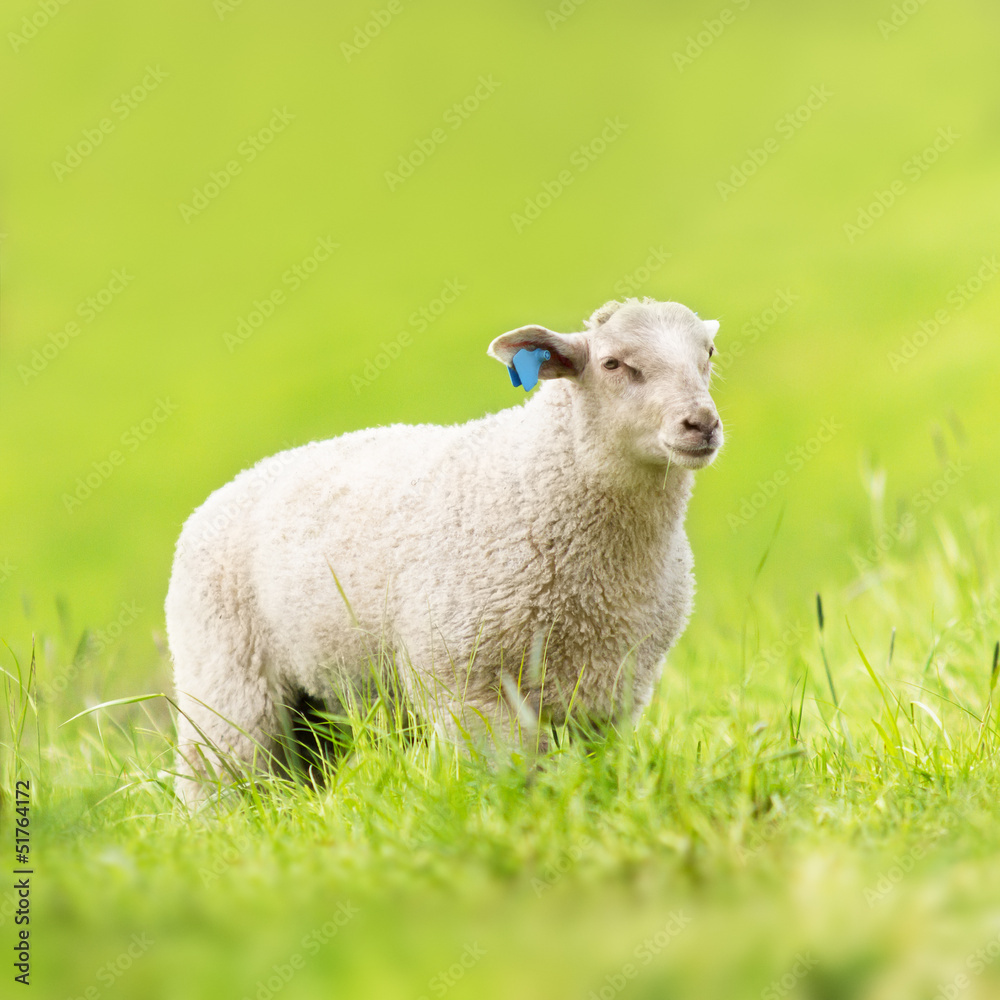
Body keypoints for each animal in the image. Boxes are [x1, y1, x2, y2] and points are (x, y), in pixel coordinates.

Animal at [165, 297, 723, 800]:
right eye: (612, 364)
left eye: (709, 354)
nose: (702, 424)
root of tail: (224, 492)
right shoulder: (465, 683)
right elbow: (513, 773)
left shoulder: (615, 691)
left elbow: (595, 769)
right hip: (226, 681)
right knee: (217, 776)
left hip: (318, 704)